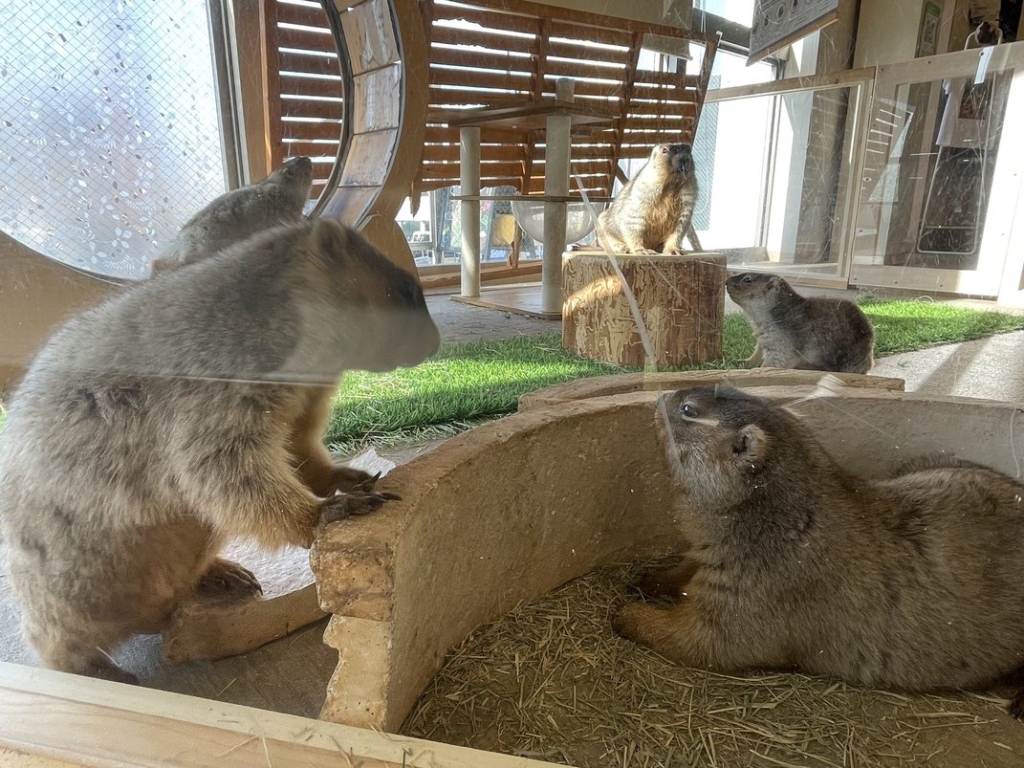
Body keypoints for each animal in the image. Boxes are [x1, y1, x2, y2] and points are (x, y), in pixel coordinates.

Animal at [0, 218, 439, 684]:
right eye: (406, 291)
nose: (436, 343)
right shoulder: (217, 384)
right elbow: (225, 464)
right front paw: (328, 511)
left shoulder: (302, 398)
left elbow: (298, 443)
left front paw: (350, 478)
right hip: (65, 588)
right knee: (54, 643)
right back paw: (101, 670)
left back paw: (223, 575)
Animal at [613, 385, 1024, 719]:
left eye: (688, 410)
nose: (662, 394)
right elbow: (690, 565)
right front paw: (648, 580)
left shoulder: (761, 586)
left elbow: (706, 638)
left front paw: (628, 614)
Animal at [726, 273, 875, 374]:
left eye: (747, 279)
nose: (726, 281)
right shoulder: (764, 337)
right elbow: (758, 351)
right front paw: (741, 362)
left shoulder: (781, 338)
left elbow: (778, 359)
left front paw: (757, 370)